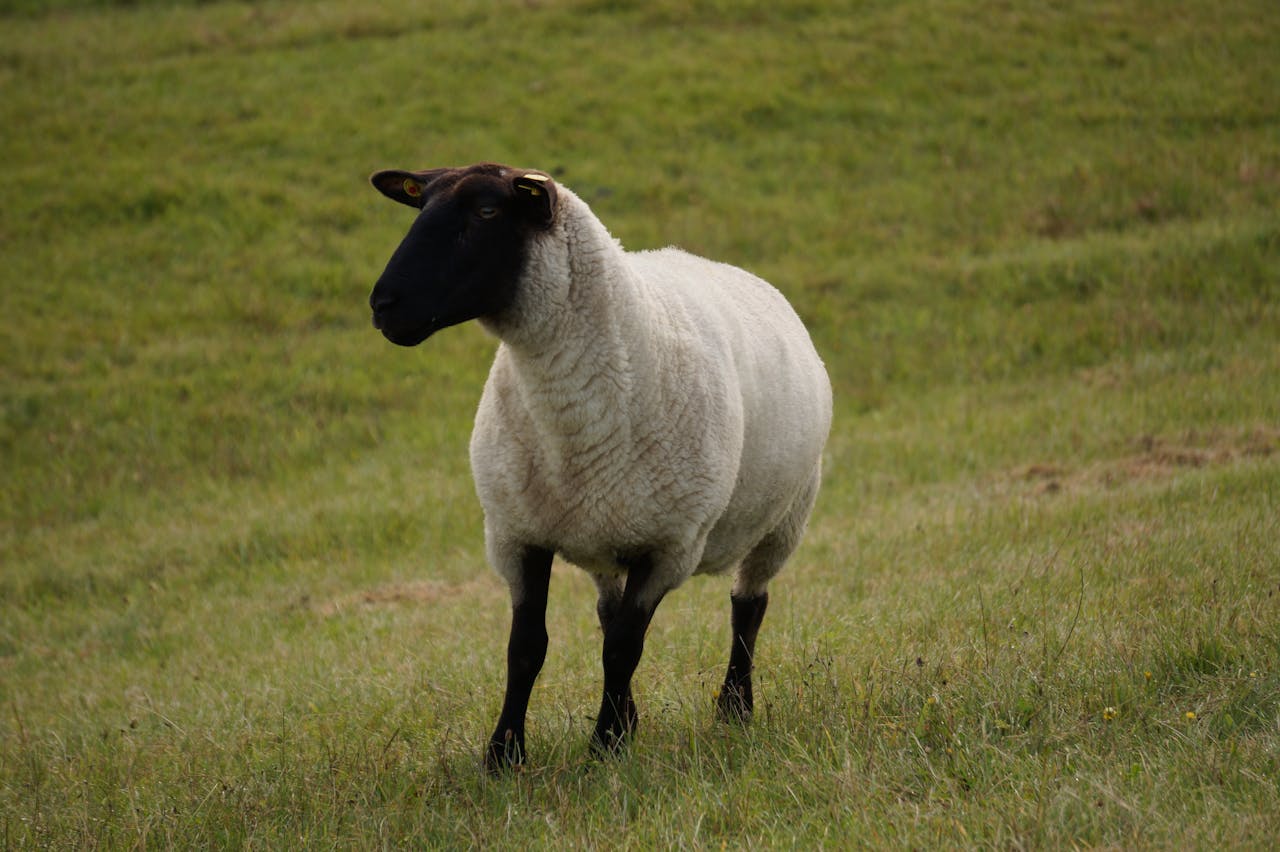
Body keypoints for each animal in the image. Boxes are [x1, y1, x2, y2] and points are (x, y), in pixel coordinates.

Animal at [367, 162, 832, 770]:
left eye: (488, 211)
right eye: (420, 207)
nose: (383, 304)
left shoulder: (670, 547)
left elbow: (624, 649)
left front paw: (605, 746)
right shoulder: (518, 534)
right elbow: (528, 648)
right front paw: (504, 755)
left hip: (785, 518)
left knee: (748, 607)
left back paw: (734, 709)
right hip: (606, 531)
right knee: (611, 614)